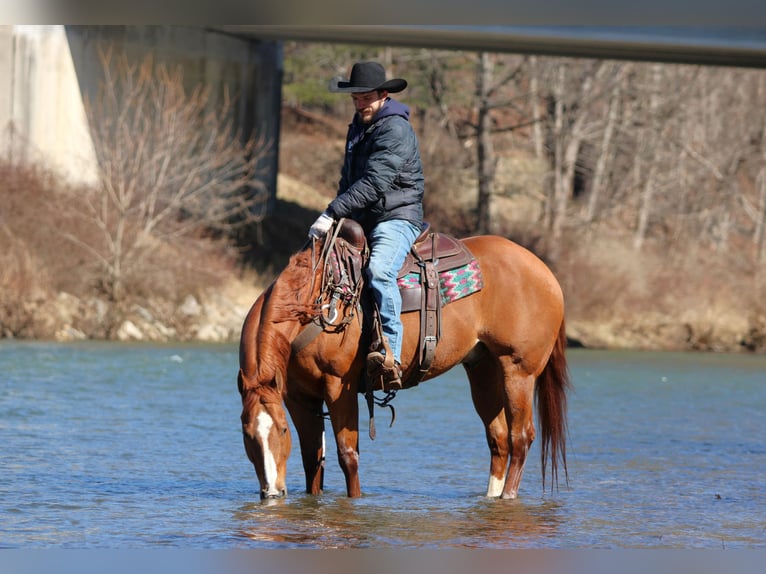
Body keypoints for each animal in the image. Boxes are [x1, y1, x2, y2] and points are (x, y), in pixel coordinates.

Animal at [237, 221, 570, 500]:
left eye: (281, 431)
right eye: (247, 435)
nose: (272, 493)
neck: (315, 304)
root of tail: (547, 273)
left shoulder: (338, 386)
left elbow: (348, 455)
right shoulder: (298, 397)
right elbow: (312, 459)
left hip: (518, 370)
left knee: (521, 437)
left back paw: (508, 497)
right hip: (483, 369)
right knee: (498, 439)